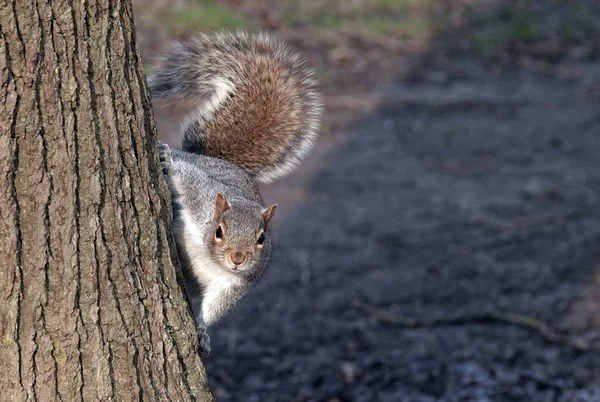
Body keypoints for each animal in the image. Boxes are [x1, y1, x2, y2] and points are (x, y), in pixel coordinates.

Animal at [147, 30, 322, 352]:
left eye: (262, 238)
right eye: (219, 231)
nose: (238, 259)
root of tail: (222, 160)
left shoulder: (234, 285)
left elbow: (216, 306)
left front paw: (202, 331)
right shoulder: (202, 199)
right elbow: (189, 180)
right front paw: (168, 160)